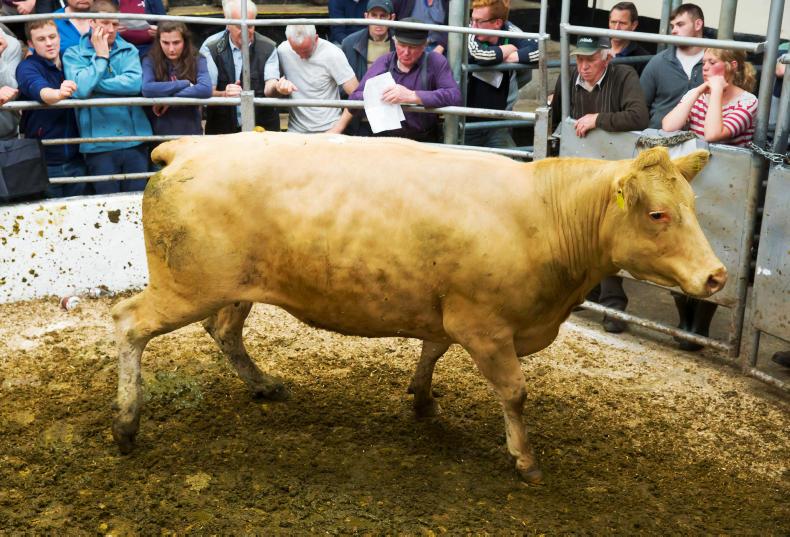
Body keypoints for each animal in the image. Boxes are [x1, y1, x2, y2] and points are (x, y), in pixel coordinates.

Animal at [111, 131, 726, 483]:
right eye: (658, 214)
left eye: (693, 205)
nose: (716, 275)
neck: (542, 216)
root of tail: (190, 147)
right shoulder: (485, 323)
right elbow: (514, 392)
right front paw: (525, 459)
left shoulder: (449, 308)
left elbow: (432, 349)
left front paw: (423, 399)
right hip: (185, 286)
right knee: (129, 323)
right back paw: (126, 425)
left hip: (236, 286)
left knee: (223, 330)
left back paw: (264, 385)